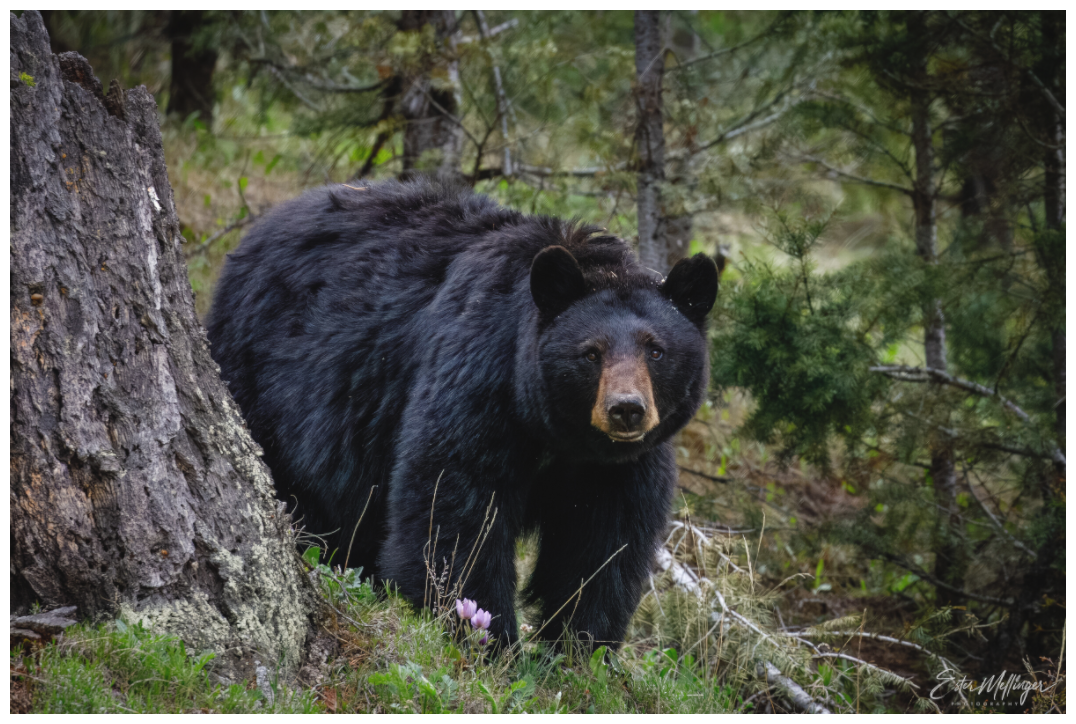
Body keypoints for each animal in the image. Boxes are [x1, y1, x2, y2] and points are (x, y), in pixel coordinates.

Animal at [206, 179, 718, 650]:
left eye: (656, 350)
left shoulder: (618, 468)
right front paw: (486, 637)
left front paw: (579, 649)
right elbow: (454, 506)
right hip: (264, 378)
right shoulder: (479, 381)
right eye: (591, 353)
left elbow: (602, 546)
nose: (626, 410)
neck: (559, 434)